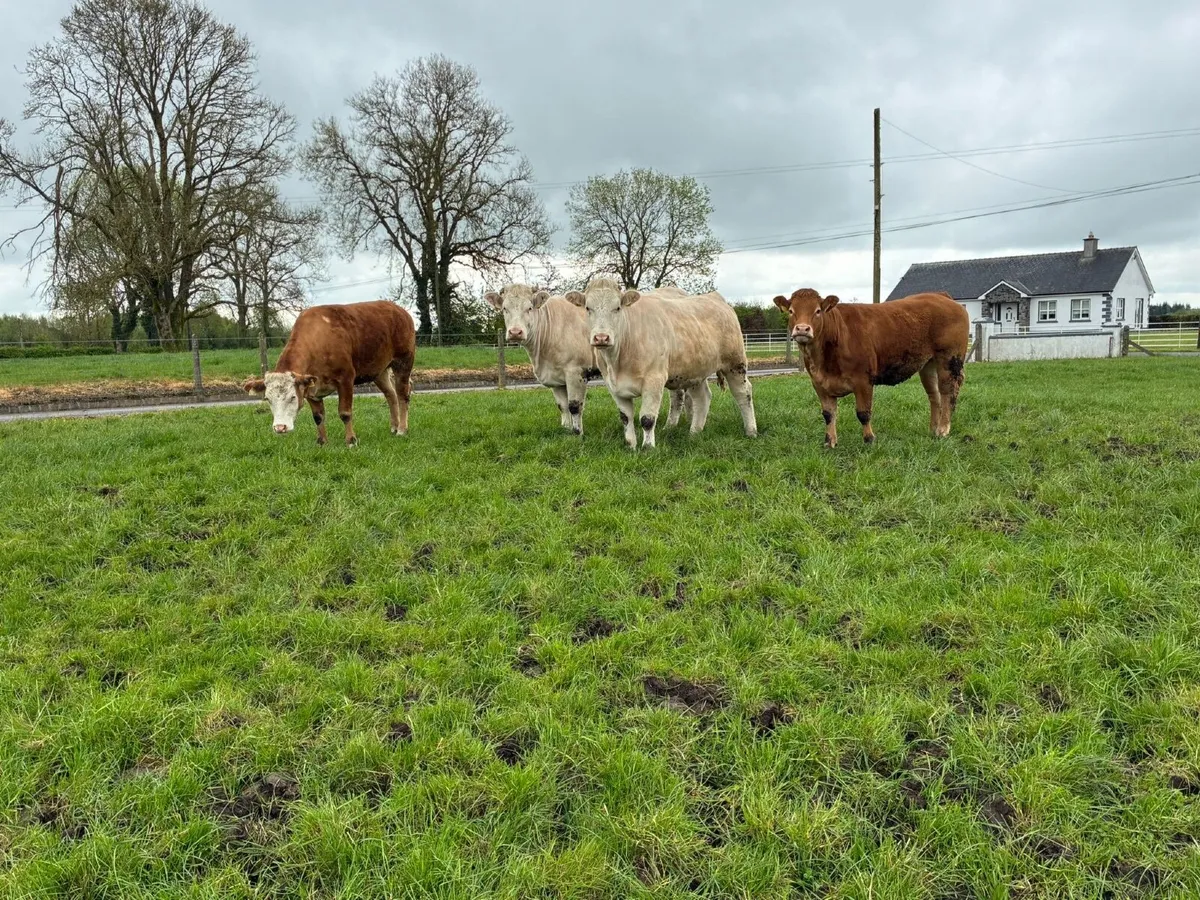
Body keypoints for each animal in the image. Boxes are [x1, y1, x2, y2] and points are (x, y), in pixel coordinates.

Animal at [242, 299, 416, 446]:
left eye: (292, 397)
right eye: (267, 399)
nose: (280, 427)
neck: (318, 341)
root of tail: (399, 310)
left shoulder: (346, 378)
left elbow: (345, 413)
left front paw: (351, 440)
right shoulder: (310, 387)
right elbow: (318, 417)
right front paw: (322, 441)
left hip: (403, 361)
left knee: (402, 395)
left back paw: (402, 429)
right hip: (378, 370)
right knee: (391, 394)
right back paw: (394, 427)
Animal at [565, 276, 758, 449]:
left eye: (617, 308)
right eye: (588, 308)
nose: (601, 337)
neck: (618, 361)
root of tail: (714, 297)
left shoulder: (654, 380)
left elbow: (647, 419)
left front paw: (648, 448)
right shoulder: (614, 386)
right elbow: (626, 418)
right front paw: (630, 445)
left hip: (735, 363)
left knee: (743, 393)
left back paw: (751, 431)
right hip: (695, 371)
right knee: (702, 397)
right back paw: (694, 433)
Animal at [772, 288, 969, 447]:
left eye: (818, 311)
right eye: (791, 311)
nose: (802, 329)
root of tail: (941, 296)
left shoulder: (863, 380)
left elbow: (863, 413)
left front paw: (869, 439)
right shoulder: (819, 384)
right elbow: (828, 414)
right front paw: (830, 441)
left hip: (949, 359)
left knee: (947, 393)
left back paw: (943, 430)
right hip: (927, 364)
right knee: (934, 396)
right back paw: (933, 430)